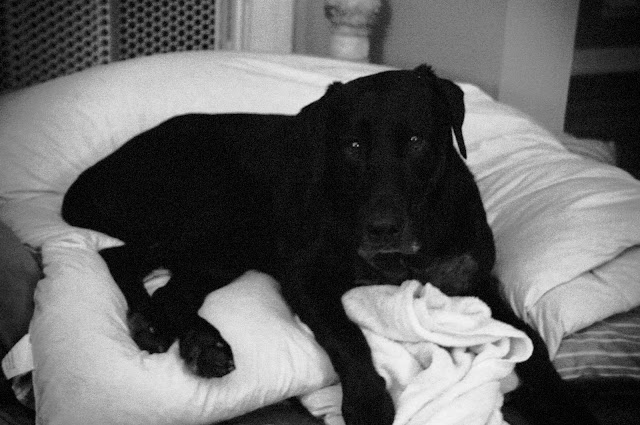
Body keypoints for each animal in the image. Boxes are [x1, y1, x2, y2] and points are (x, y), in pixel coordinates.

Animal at [62, 65, 597, 425]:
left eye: (418, 141)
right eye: (353, 148)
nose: (383, 228)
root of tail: (101, 169)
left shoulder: (475, 282)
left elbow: (531, 343)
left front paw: (561, 403)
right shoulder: (308, 278)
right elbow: (347, 336)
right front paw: (368, 403)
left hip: (222, 248)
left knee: (175, 288)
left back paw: (200, 343)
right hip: (216, 217)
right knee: (121, 258)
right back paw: (158, 325)